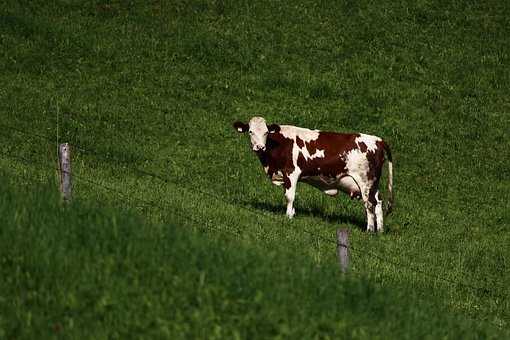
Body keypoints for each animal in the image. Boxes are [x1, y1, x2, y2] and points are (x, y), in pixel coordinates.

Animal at [233, 115, 392, 232]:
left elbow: (290, 196)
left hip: (365, 182)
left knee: (369, 204)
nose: (259, 147)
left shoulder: (291, 172)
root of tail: (378, 140)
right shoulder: (285, 176)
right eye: (250, 131)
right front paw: (292, 213)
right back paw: (380, 230)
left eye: (266, 132)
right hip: (373, 184)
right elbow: (288, 195)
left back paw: (369, 230)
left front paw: (288, 217)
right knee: (378, 202)